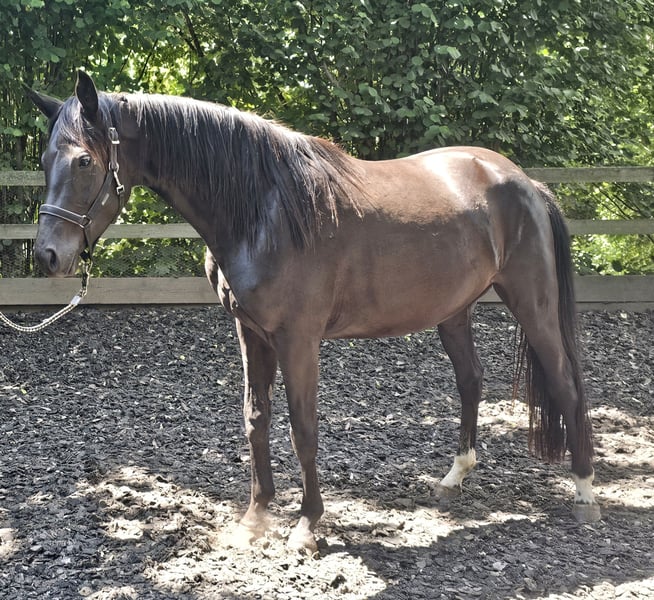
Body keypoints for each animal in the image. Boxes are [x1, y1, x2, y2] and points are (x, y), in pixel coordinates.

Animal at [29, 70, 599, 552]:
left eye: (84, 161)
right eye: (44, 162)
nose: (48, 256)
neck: (264, 209)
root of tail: (526, 183)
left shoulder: (297, 339)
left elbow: (303, 428)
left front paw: (306, 525)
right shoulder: (250, 332)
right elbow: (256, 419)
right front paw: (256, 517)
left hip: (534, 305)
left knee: (565, 382)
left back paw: (585, 492)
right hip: (453, 311)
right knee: (471, 380)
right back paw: (454, 477)